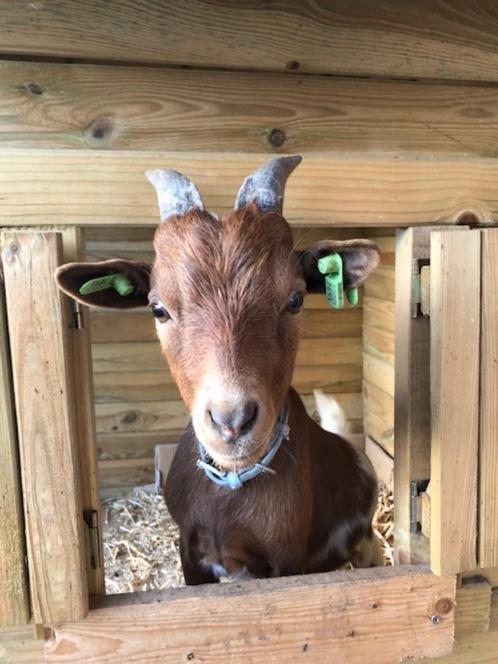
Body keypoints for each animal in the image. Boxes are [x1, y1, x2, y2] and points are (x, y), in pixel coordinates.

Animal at [55, 158, 382, 584]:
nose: (232, 422)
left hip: (367, 545)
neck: (230, 492)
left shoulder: (286, 562)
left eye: (295, 299)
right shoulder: (190, 550)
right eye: (158, 308)